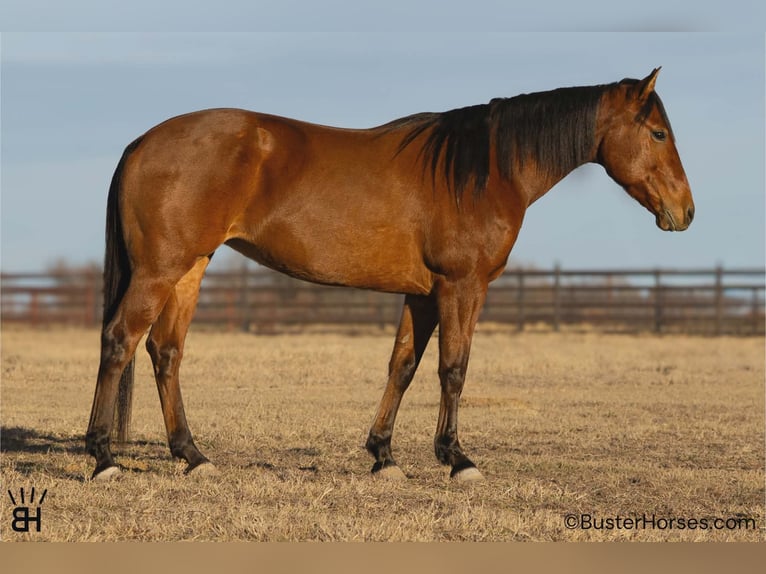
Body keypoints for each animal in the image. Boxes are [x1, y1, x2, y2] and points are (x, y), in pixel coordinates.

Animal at [86, 68, 694, 481]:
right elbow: (453, 368)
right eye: (658, 134)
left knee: (165, 352)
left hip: (188, 269)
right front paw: (457, 459)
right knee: (119, 341)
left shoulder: (421, 295)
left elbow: (402, 366)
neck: (482, 170)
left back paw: (192, 456)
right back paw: (103, 457)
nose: (685, 212)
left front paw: (384, 456)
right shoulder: (461, 287)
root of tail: (141, 143)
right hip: (158, 271)